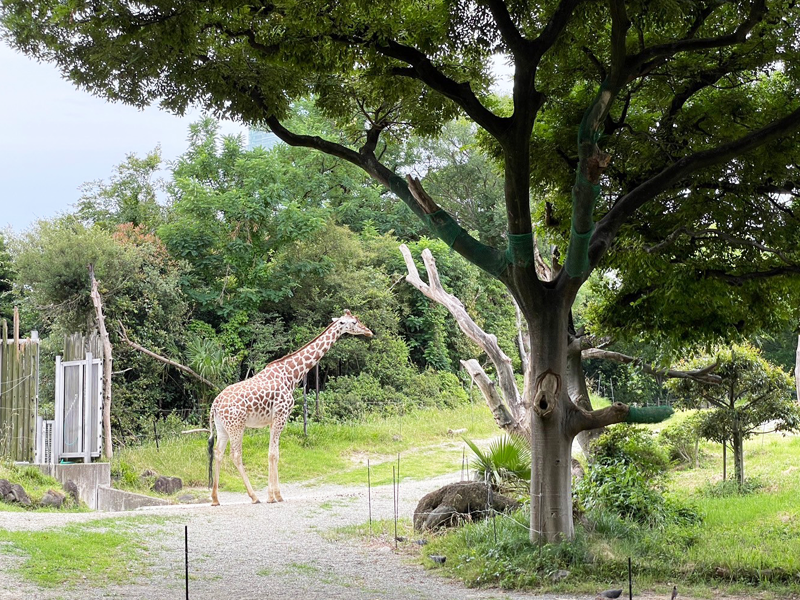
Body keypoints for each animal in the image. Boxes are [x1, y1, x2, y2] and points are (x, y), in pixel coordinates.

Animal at [205, 312, 370, 504]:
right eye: (354, 322)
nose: (369, 331)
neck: (292, 375)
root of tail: (215, 404)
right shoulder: (281, 416)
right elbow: (273, 454)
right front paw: (272, 496)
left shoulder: (273, 420)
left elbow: (275, 453)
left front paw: (276, 494)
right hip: (236, 425)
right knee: (236, 455)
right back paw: (254, 496)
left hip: (222, 427)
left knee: (218, 453)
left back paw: (215, 498)